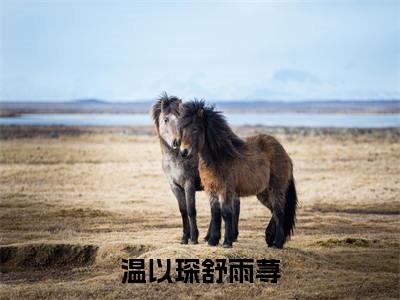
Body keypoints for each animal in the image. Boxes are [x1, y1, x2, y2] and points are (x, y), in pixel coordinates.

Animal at [152, 94, 242, 246]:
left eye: (180, 121)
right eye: (166, 119)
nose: (177, 142)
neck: (176, 159)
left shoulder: (189, 185)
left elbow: (191, 210)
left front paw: (194, 238)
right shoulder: (175, 186)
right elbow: (183, 210)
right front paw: (184, 238)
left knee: (235, 205)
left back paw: (232, 236)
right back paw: (210, 236)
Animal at [177, 99, 296, 247]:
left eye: (195, 129)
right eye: (182, 129)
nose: (183, 152)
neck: (219, 156)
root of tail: (285, 153)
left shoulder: (226, 189)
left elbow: (226, 213)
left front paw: (227, 242)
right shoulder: (211, 189)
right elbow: (215, 213)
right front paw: (213, 241)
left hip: (276, 188)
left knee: (279, 212)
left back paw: (278, 243)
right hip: (263, 192)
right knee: (274, 210)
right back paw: (269, 238)